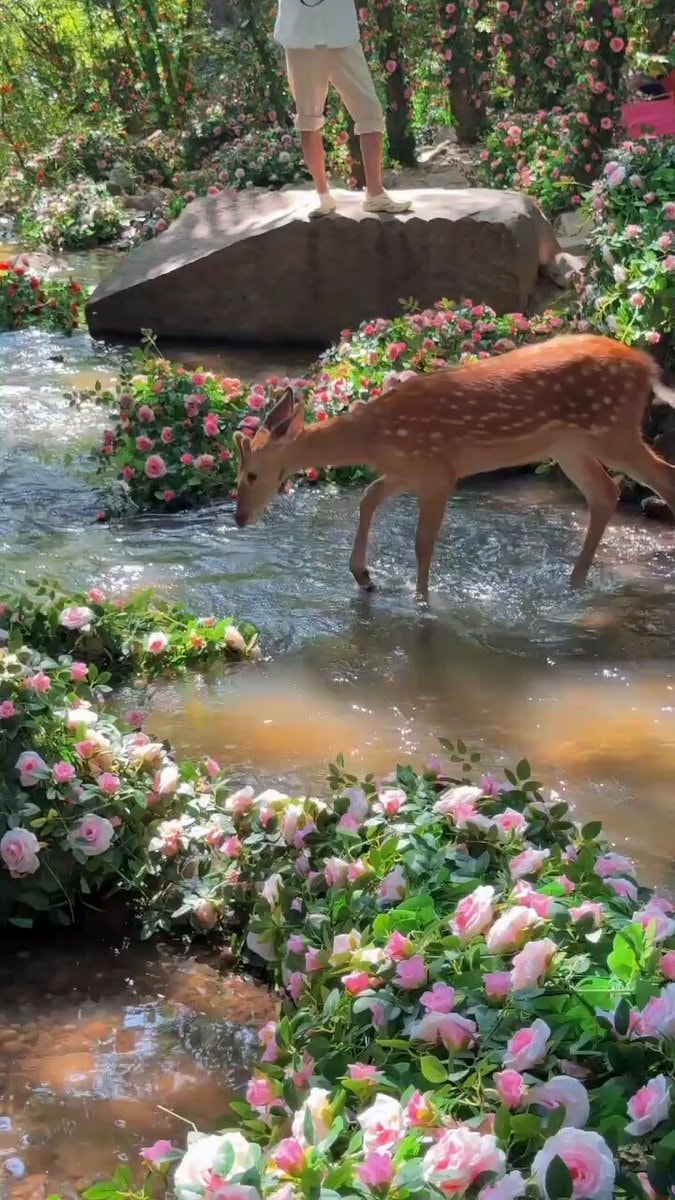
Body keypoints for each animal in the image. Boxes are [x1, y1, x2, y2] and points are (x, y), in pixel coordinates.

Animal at [233, 333, 675, 598]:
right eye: (238, 477)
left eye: (251, 474)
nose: (239, 518)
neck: (374, 438)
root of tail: (647, 366)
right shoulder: (408, 469)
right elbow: (368, 496)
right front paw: (364, 576)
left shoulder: (438, 470)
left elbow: (422, 542)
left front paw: (422, 600)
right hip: (569, 445)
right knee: (606, 493)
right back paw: (574, 581)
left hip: (612, 430)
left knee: (660, 477)